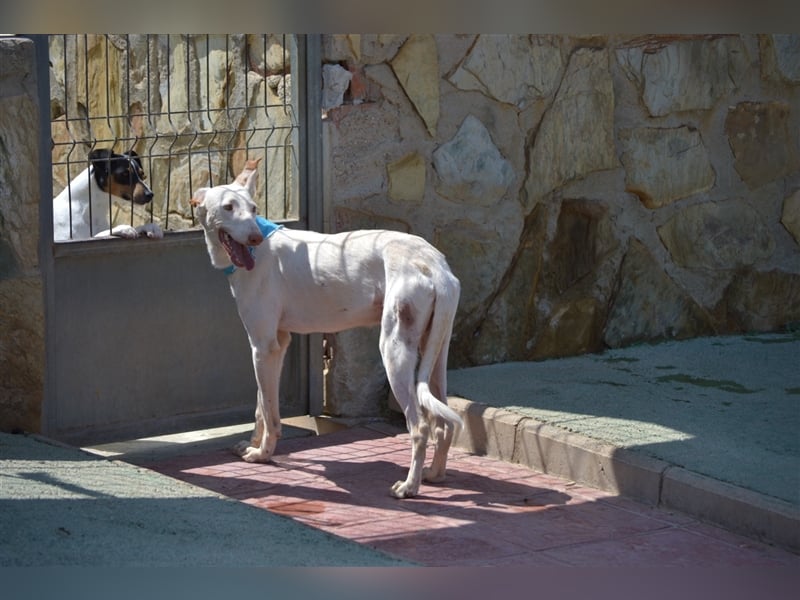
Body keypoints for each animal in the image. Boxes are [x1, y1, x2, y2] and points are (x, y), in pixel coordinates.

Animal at [189, 159, 462, 496]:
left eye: (253, 209)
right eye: (228, 207)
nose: (254, 237)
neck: (256, 255)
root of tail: (433, 262)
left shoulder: (262, 346)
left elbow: (270, 412)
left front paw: (262, 455)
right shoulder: (276, 345)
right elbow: (260, 407)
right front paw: (251, 446)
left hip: (395, 350)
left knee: (420, 425)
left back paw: (410, 486)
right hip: (435, 352)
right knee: (444, 422)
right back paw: (435, 474)